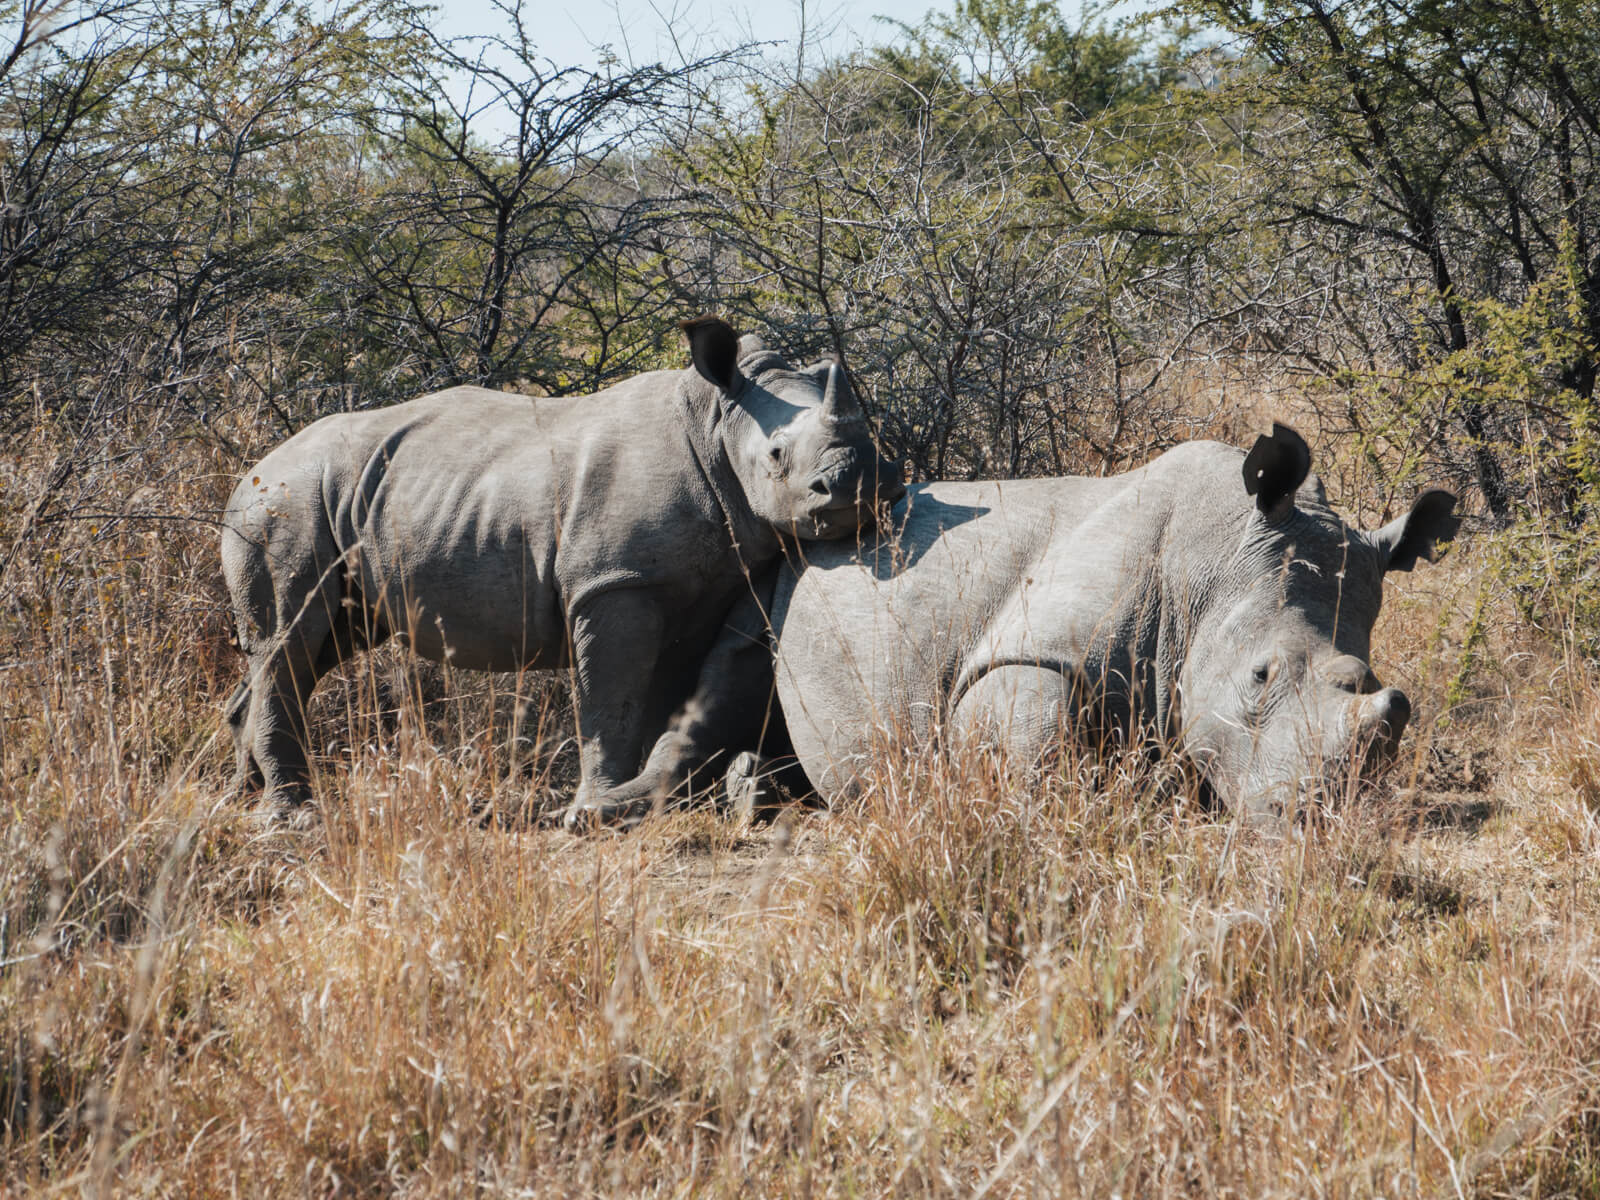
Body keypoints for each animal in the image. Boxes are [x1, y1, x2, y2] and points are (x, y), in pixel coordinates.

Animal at [220, 317, 905, 812]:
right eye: (778, 455)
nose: (861, 484)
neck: (714, 420)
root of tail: (245, 477)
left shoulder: (700, 584)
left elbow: (675, 701)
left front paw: (652, 802)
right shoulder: (613, 583)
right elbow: (612, 703)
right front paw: (595, 807)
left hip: (327, 503)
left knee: (314, 645)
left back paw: (242, 797)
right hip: (285, 506)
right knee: (289, 639)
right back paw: (294, 815)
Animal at [571, 424, 1460, 823]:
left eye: (1387, 695)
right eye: (1261, 677)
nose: (1318, 816)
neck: (1209, 571)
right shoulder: (1035, 651)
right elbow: (1027, 747)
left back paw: (755, 792)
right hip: (781, 563)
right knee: (730, 667)